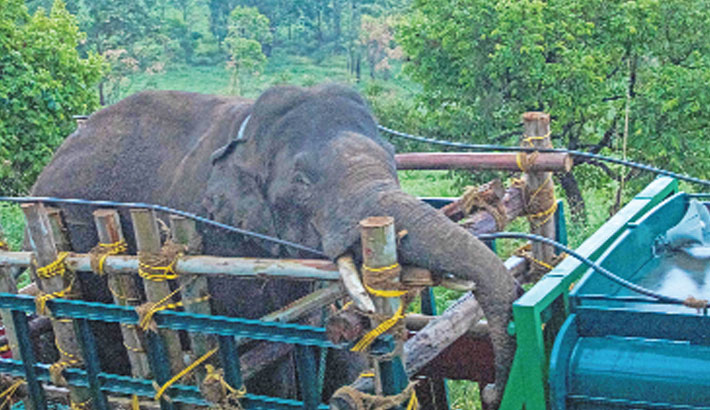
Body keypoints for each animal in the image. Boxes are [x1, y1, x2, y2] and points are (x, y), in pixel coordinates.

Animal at [31, 84, 518, 407]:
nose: (493, 390)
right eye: (302, 182)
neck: (248, 133)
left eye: (393, 159)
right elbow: (264, 358)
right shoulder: (217, 238)